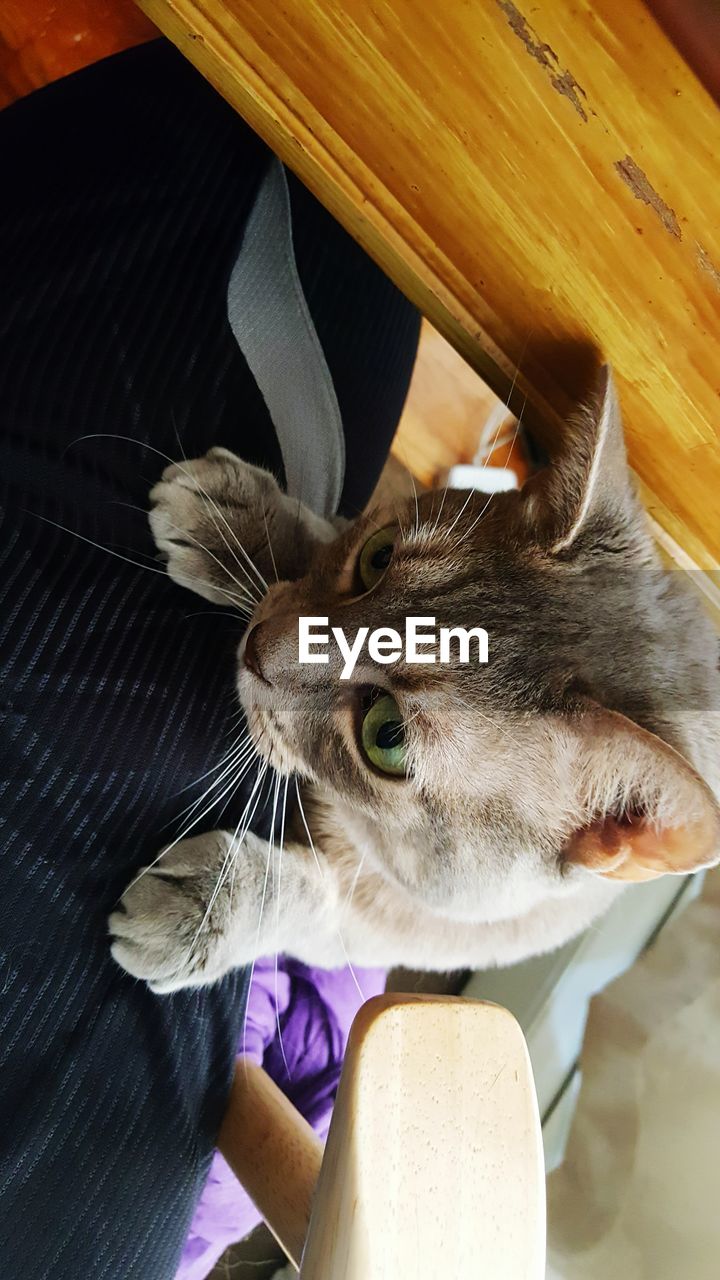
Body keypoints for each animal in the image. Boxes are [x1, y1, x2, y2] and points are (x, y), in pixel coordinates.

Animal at [109, 366, 717, 993]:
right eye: (378, 557)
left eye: (388, 737)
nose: (255, 645)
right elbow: (320, 534)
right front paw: (232, 517)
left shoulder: (378, 926)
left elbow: (313, 902)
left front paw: (204, 908)